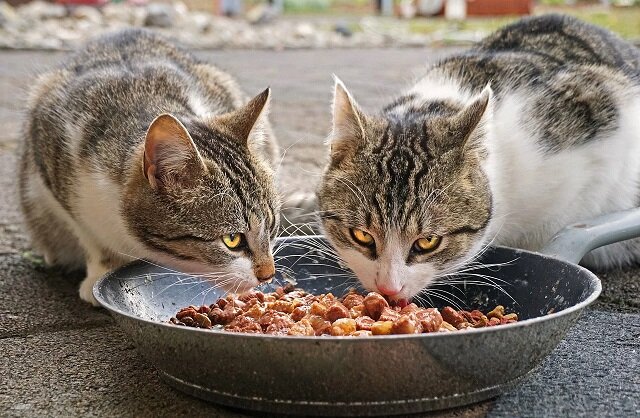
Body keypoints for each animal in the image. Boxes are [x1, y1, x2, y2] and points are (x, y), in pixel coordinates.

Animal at [19, 28, 280, 304]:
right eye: (232, 239)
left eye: (272, 225)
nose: (268, 274)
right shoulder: (50, 154)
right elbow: (90, 236)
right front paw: (100, 271)